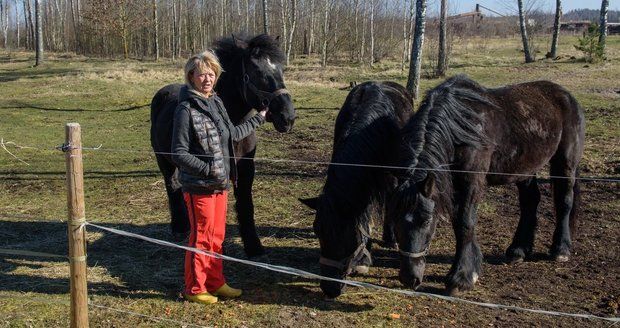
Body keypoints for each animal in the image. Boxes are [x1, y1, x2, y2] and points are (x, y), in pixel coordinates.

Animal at [150, 35, 296, 256]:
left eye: (281, 70)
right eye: (257, 72)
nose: (288, 117)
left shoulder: (245, 167)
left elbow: (246, 204)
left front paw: (253, 246)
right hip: (163, 159)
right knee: (171, 186)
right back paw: (180, 226)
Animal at [390, 75, 584, 294]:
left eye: (426, 220)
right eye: (394, 219)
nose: (409, 278)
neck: (460, 126)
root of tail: (567, 96)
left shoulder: (472, 181)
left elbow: (465, 222)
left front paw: (460, 278)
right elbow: (460, 223)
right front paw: (473, 268)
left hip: (565, 163)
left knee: (564, 201)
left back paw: (561, 249)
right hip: (525, 169)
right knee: (530, 202)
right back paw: (518, 250)